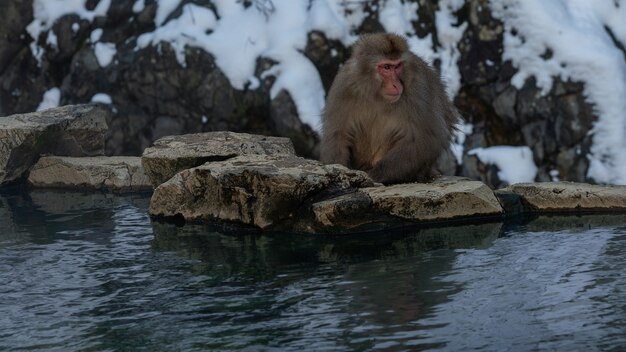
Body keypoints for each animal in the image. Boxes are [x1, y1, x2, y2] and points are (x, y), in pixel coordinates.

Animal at [320, 33, 456, 184]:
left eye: (397, 66)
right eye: (386, 67)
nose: (396, 85)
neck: (377, 96)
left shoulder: (418, 89)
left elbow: (425, 140)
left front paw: (374, 175)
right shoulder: (345, 86)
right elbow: (338, 136)